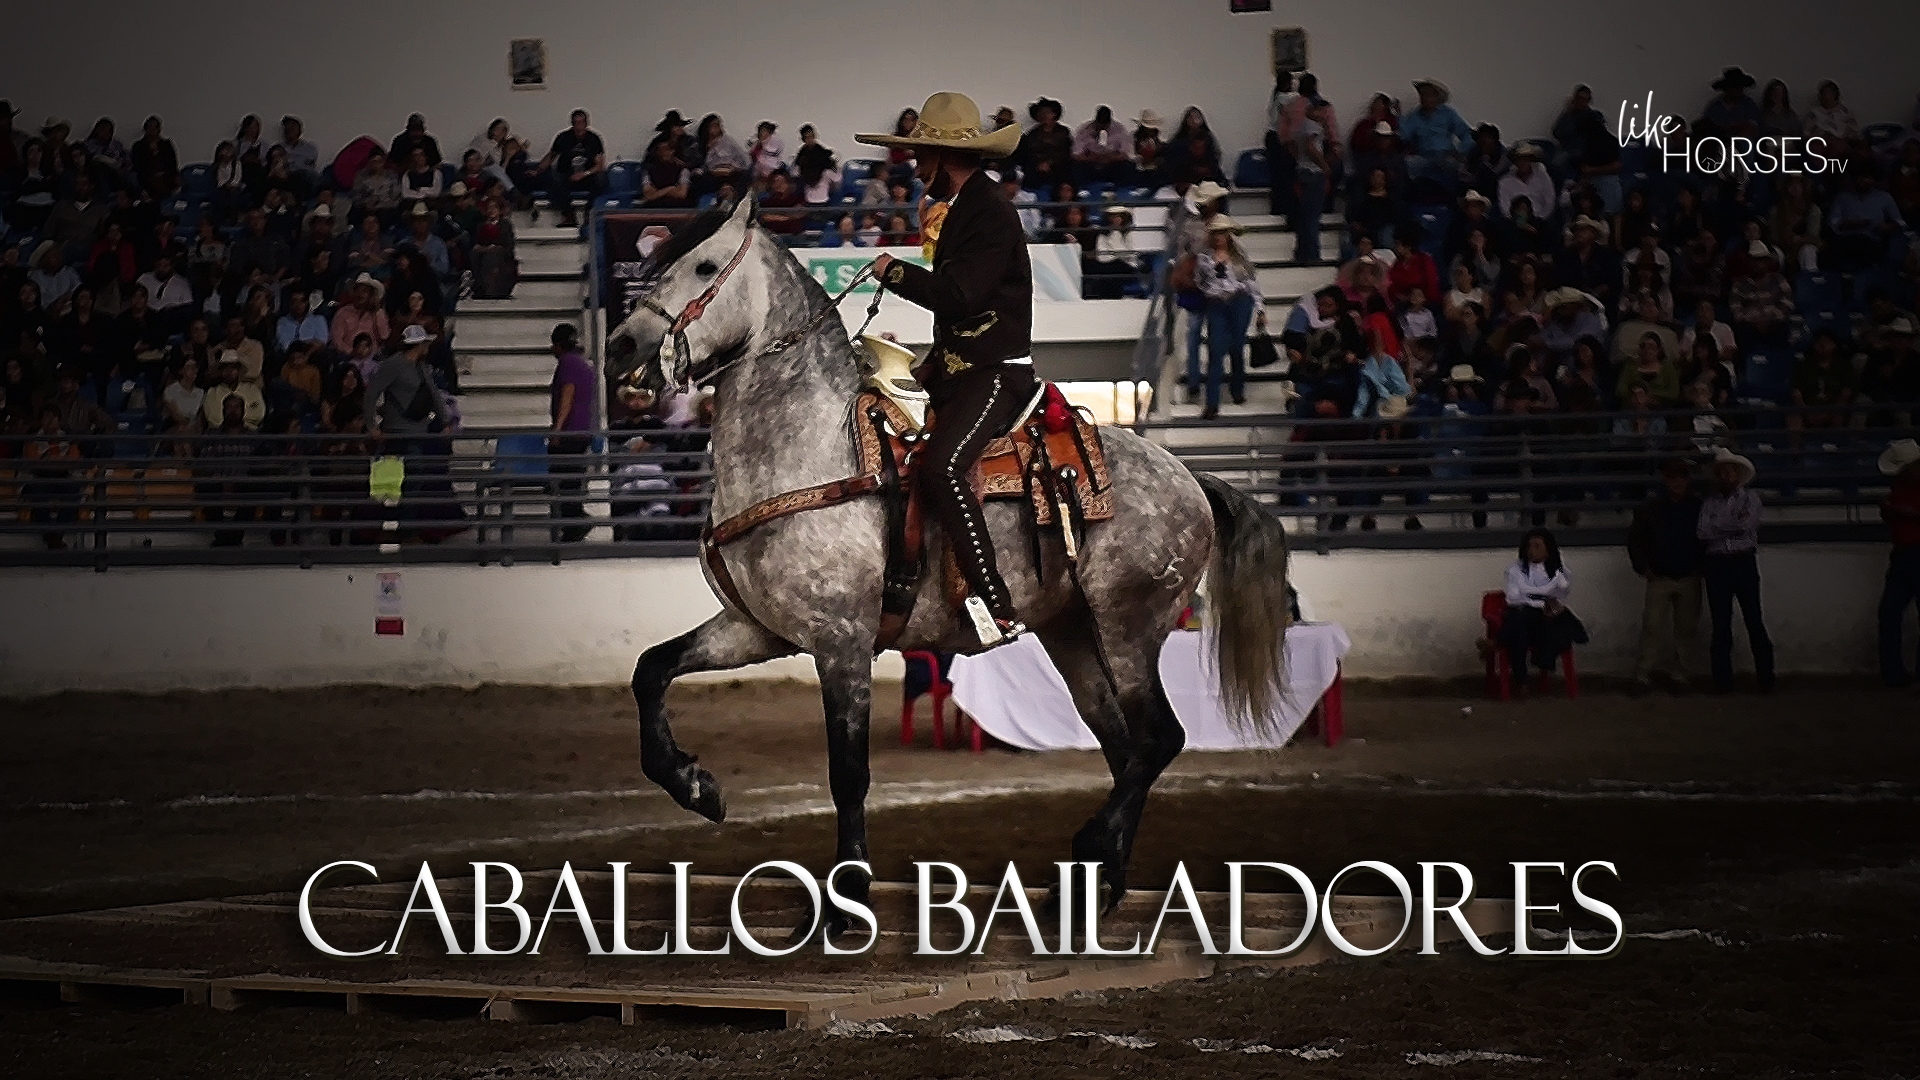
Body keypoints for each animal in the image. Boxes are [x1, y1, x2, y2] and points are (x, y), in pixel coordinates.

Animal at [606, 194, 1291, 940]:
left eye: (704, 266)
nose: (621, 345)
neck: (812, 448)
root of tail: (1191, 479)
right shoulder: (759, 630)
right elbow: (650, 670)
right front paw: (695, 786)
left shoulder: (842, 643)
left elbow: (848, 773)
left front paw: (844, 904)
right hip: (1075, 635)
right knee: (1125, 746)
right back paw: (1092, 888)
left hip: (1128, 626)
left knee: (1158, 738)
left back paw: (1088, 860)